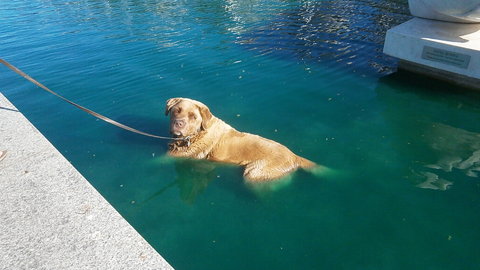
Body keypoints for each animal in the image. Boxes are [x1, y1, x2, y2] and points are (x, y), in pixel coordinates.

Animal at [165, 97, 318, 181]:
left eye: (193, 116)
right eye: (177, 110)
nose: (179, 123)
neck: (197, 134)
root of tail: (294, 156)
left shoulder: (179, 155)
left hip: (255, 173)